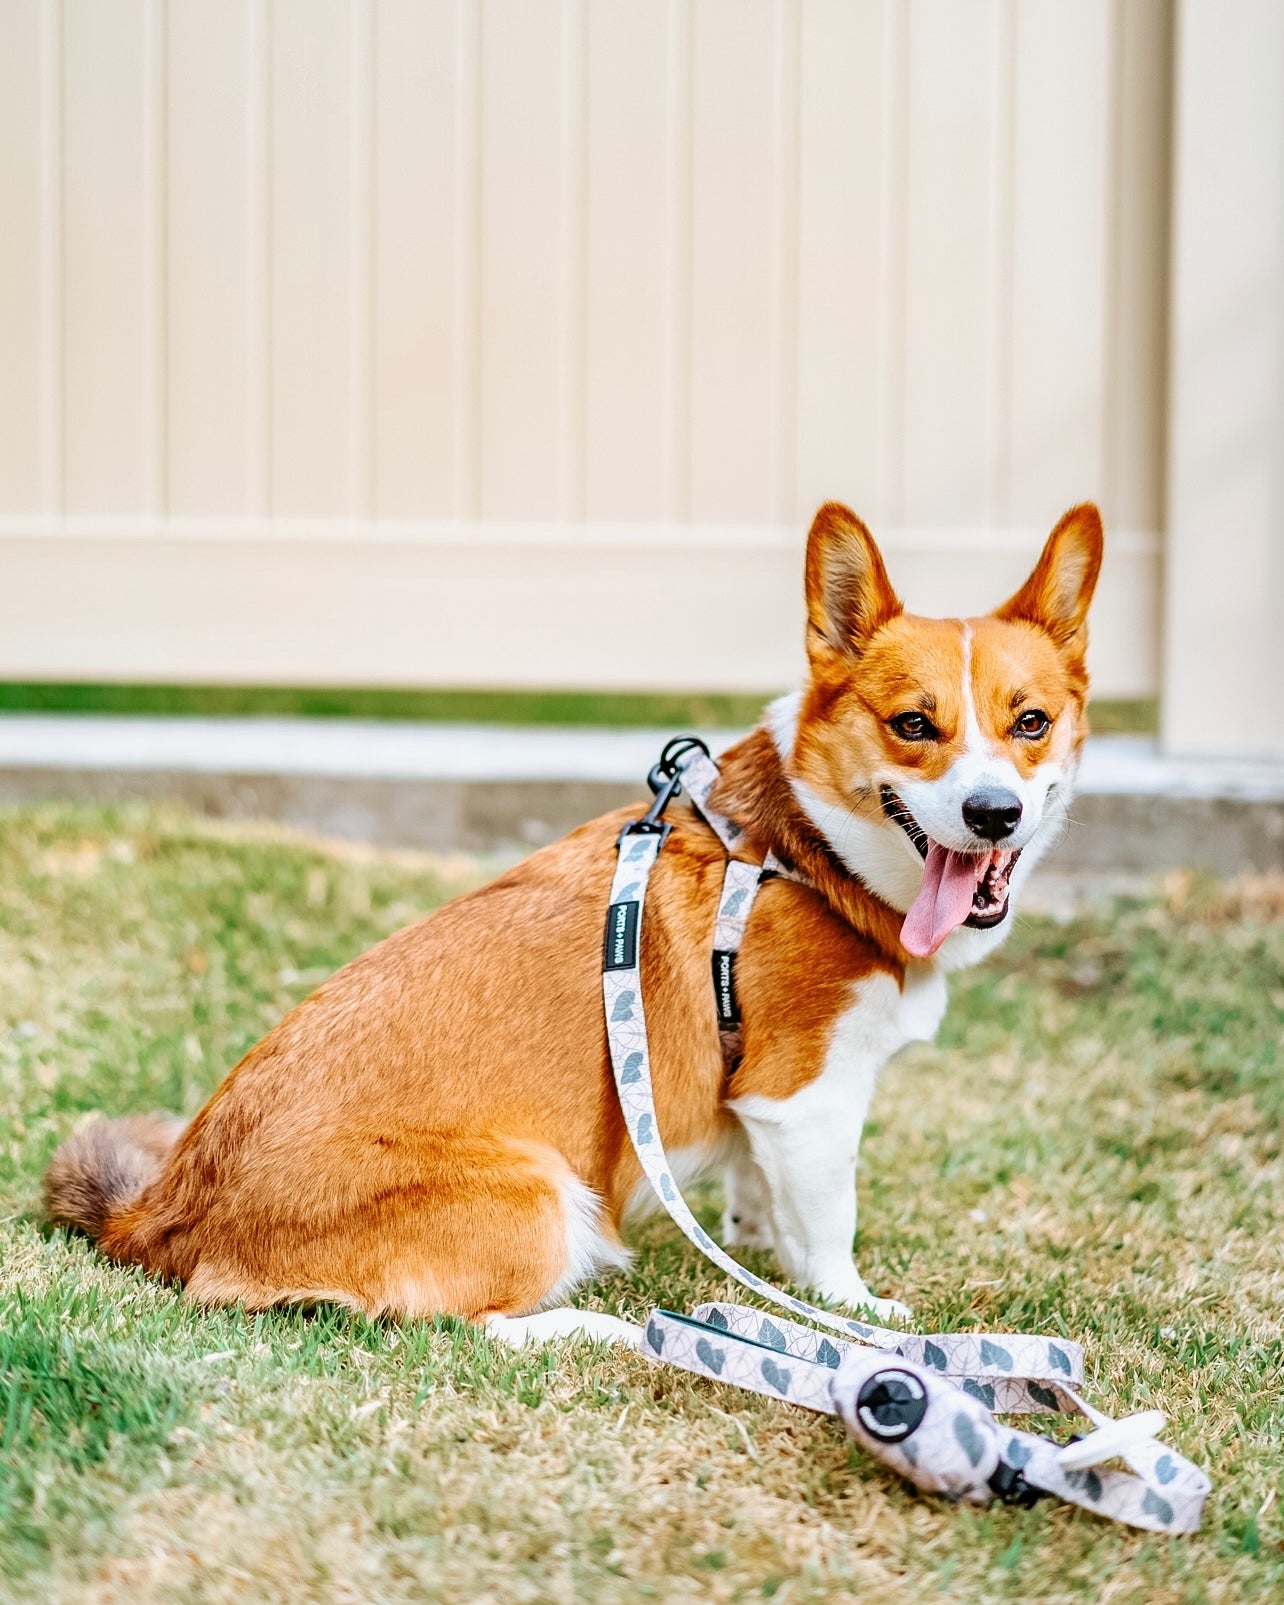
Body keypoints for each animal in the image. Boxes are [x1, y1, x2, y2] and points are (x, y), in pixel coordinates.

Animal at [42, 500, 1104, 1341]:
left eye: (1032, 722)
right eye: (913, 724)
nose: (993, 814)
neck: (803, 850)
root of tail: (161, 1216)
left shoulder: (762, 1104)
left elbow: (764, 1199)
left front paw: (758, 1250)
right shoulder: (806, 1095)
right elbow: (828, 1226)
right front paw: (849, 1307)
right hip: (541, 1189)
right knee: (468, 1324)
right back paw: (600, 1326)